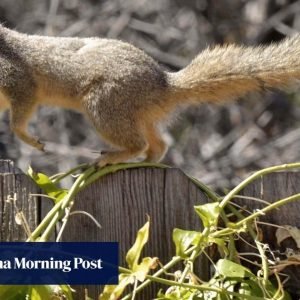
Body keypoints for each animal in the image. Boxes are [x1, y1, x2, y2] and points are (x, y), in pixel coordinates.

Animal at [0, 24, 298, 166]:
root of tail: (163, 86)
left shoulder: (19, 79)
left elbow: (20, 114)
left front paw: (31, 140)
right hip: (136, 114)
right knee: (158, 143)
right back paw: (147, 161)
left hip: (104, 105)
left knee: (138, 143)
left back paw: (112, 157)